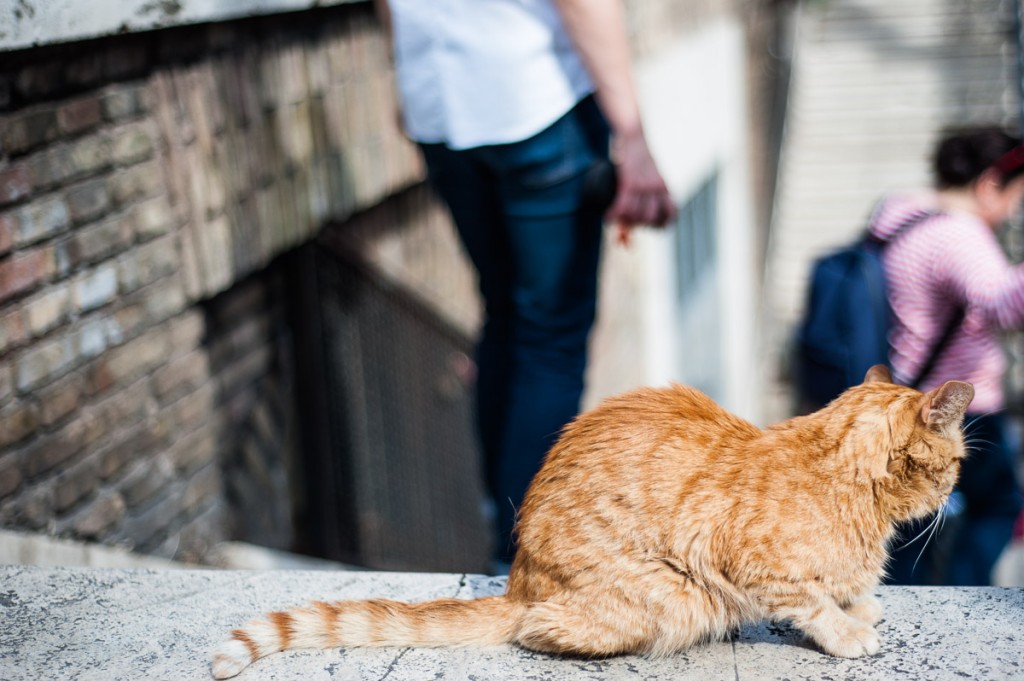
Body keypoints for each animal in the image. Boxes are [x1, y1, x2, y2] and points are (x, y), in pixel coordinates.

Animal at [211, 368, 970, 675]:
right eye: (958, 461)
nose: (954, 492)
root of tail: (518, 581)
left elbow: (837, 590)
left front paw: (859, 606)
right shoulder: (749, 563)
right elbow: (809, 602)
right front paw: (847, 630)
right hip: (676, 595)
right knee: (538, 631)